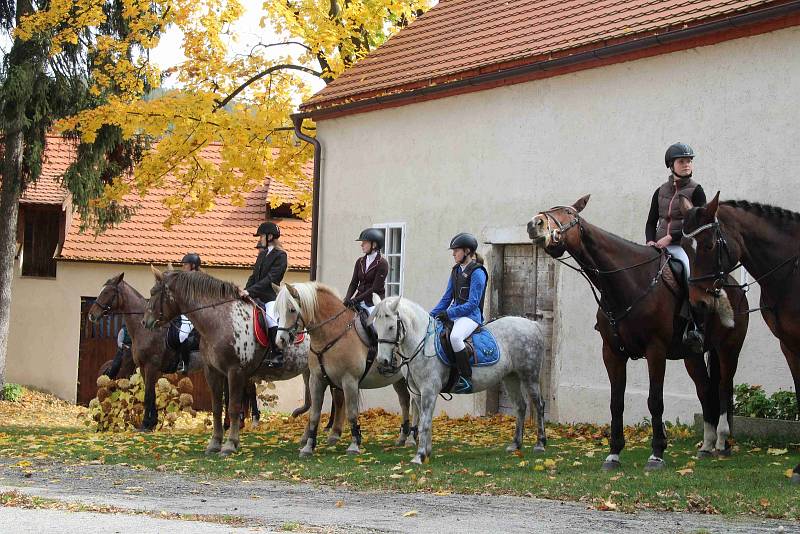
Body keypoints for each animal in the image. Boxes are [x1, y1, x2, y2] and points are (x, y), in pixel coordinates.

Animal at [274, 282, 416, 458]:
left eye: (292, 309)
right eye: (277, 309)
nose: (280, 340)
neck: (332, 333)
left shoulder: (349, 381)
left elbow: (352, 413)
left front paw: (354, 445)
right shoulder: (317, 380)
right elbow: (314, 414)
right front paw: (308, 447)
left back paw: (411, 439)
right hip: (398, 379)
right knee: (404, 401)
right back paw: (403, 437)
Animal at [370, 296, 548, 466]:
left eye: (391, 327)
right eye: (376, 326)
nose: (382, 362)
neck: (422, 345)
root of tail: (532, 324)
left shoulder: (429, 391)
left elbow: (424, 423)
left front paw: (419, 456)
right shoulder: (418, 393)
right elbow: (425, 421)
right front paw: (427, 452)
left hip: (529, 376)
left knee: (539, 405)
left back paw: (540, 444)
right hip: (511, 378)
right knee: (520, 407)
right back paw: (516, 444)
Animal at [528, 195, 748, 472]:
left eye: (569, 214)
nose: (535, 223)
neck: (628, 280)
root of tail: (732, 285)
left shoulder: (656, 350)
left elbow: (655, 400)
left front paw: (657, 453)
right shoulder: (612, 353)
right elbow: (616, 403)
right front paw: (613, 454)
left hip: (728, 350)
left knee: (724, 389)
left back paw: (722, 443)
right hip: (693, 356)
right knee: (706, 390)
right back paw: (707, 446)